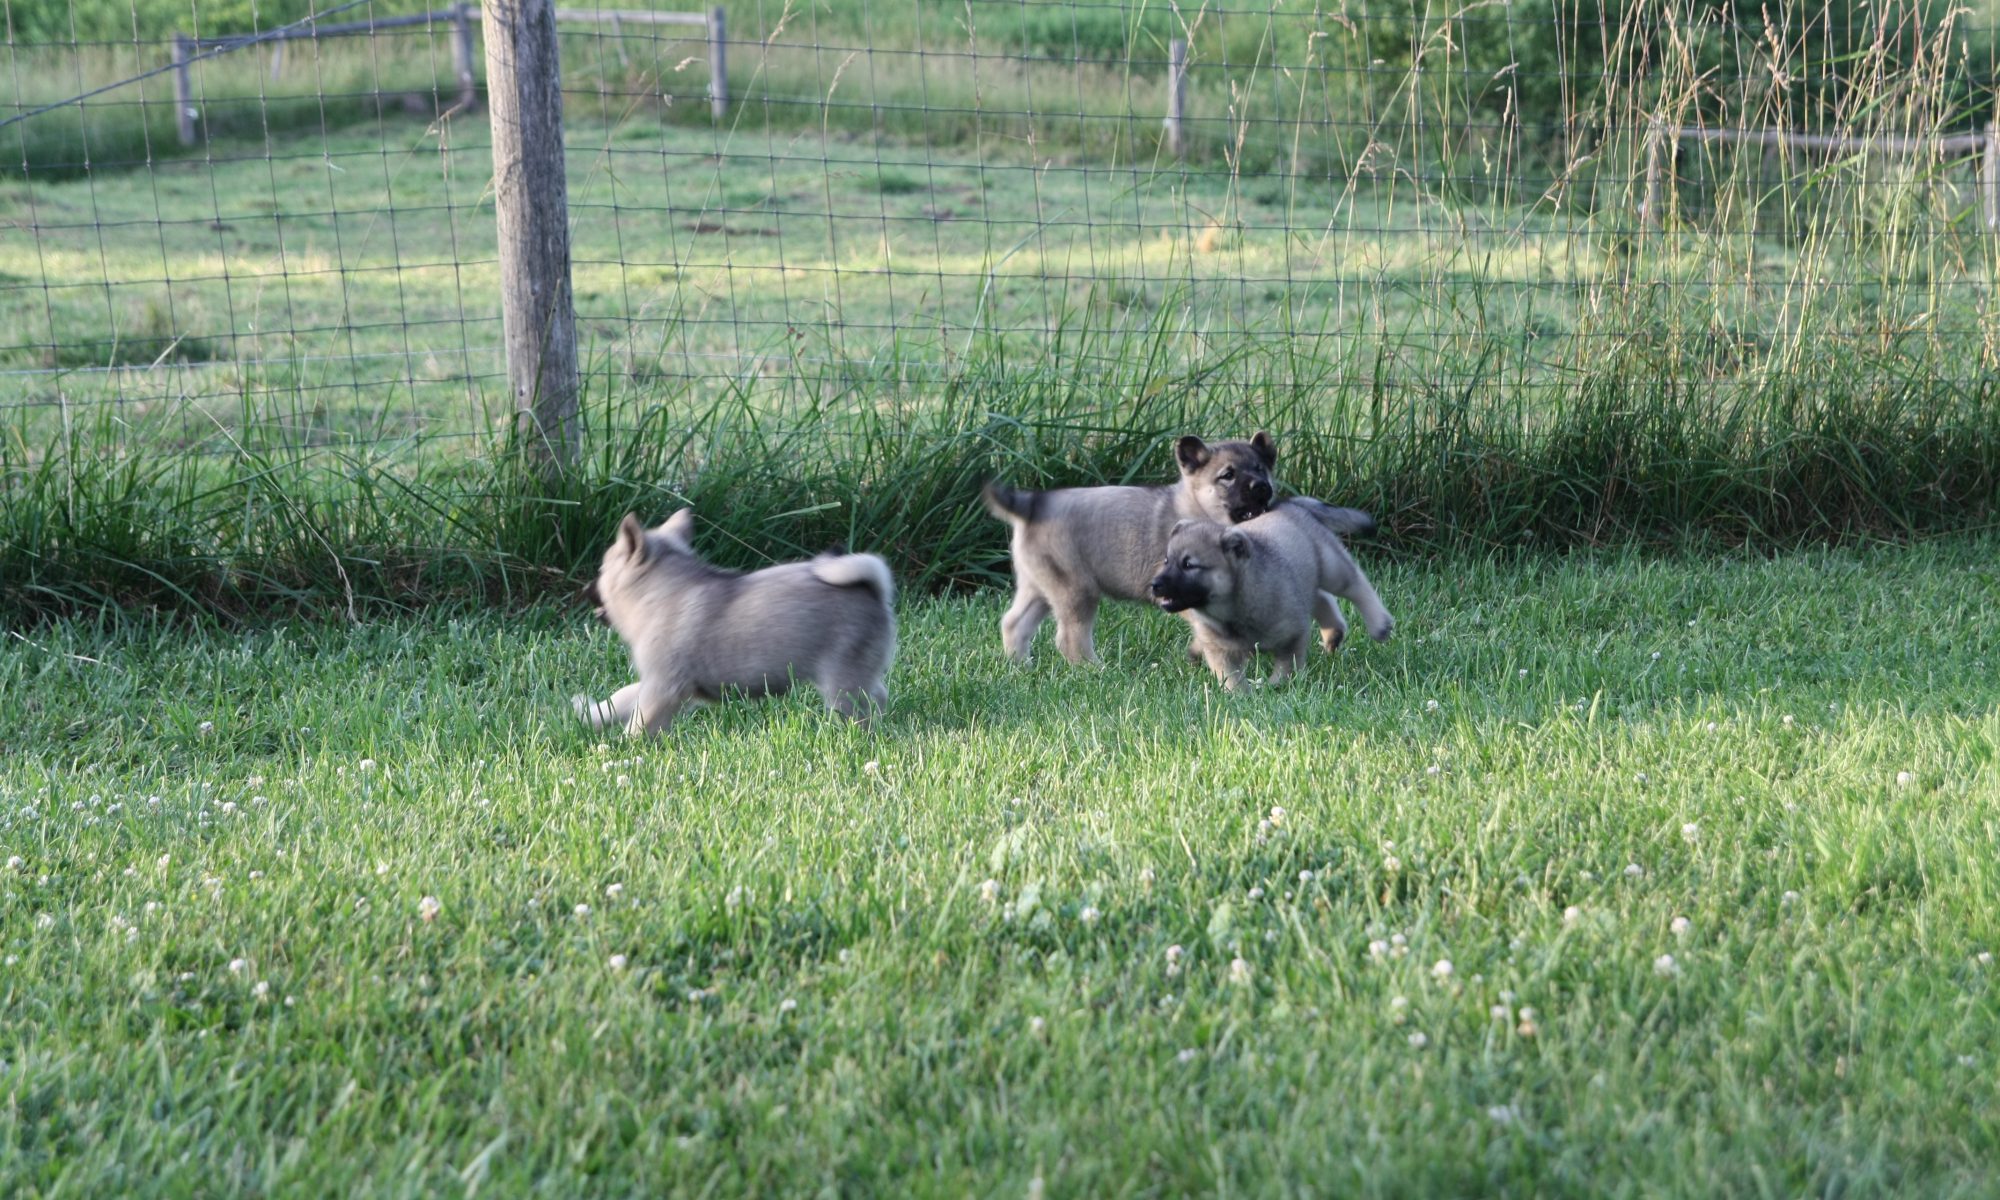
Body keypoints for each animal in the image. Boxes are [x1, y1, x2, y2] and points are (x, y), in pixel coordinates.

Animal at [576, 506, 896, 732]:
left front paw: (628, 747)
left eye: (602, 571)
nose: (585, 590)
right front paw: (590, 716)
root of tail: (873, 590)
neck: (659, 592)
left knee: (858, 712)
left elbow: (640, 721)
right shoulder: (654, 684)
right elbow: (621, 698)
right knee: (879, 696)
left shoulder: (662, 687)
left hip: (841, 682)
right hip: (859, 676)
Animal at [980, 432, 1280, 660]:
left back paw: (1021, 667)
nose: (1262, 487)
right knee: (1070, 640)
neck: (1199, 506)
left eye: (1260, 469)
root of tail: (1033, 506)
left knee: (1014, 624)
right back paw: (1094, 671)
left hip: (1039, 586)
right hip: (1076, 589)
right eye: (1228, 475)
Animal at [1152, 504, 1400, 692]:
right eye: (1166, 560)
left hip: (1331, 565)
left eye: (1188, 565)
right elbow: (1231, 677)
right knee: (1321, 598)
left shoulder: (1293, 634)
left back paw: (1379, 624)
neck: (1230, 612)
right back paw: (1333, 633)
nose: (1154, 585)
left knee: (1355, 584)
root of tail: (1292, 506)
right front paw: (1240, 695)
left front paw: (1276, 686)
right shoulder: (1220, 651)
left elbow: (1287, 666)